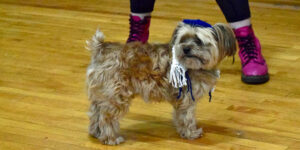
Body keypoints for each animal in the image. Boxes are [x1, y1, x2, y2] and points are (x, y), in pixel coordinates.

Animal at [85, 21, 236, 145]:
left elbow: (180, 117)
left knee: (95, 113)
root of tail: (101, 47)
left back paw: (96, 133)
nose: (186, 48)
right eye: (183, 40)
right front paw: (191, 133)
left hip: (102, 96)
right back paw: (110, 138)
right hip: (116, 97)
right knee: (106, 118)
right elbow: (187, 118)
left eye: (198, 40)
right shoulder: (187, 99)